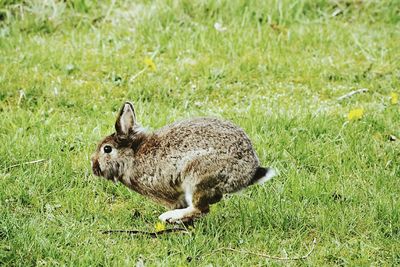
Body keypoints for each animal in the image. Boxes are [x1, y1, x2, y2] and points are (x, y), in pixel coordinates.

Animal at [90, 102, 276, 224]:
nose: (94, 167)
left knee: (200, 208)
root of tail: (249, 172)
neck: (132, 155)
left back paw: (170, 217)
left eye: (107, 149)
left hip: (197, 177)